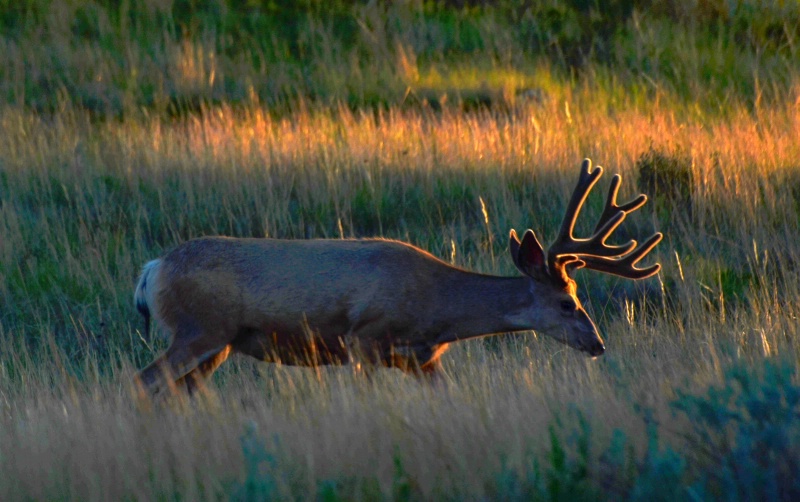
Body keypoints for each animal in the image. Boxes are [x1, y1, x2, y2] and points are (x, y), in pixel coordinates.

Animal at [134, 159, 664, 394]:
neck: (436, 309)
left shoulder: (420, 360)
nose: (597, 344)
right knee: (144, 380)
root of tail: (152, 269)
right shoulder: (364, 338)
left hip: (218, 344)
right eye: (567, 302)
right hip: (201, 329)